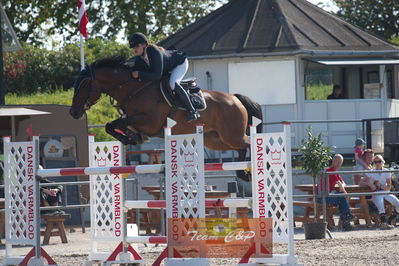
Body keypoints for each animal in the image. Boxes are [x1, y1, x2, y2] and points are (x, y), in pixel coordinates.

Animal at [70, 56, 264, 181]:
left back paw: (252, 169)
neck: (132, 89)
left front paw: (132, 138)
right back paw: (243, 173)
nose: (73, 113)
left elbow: (116, 124)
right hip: (216, 140)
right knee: (240, 147)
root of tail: (235, 98)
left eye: (84, 85)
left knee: (248, 143)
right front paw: (132, 138)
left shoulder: (149, 122)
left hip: (232, 135)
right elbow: (111, 126)